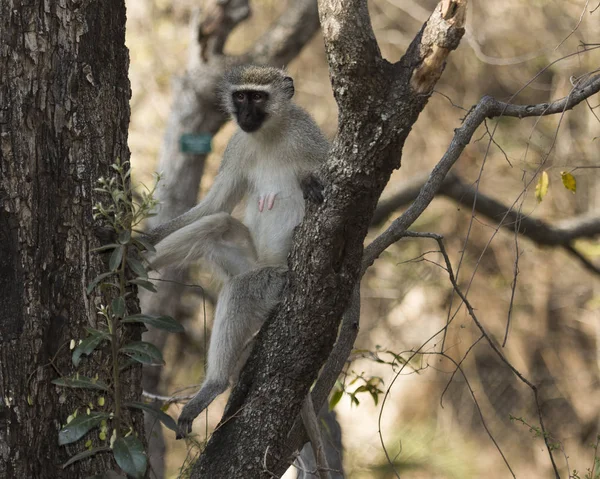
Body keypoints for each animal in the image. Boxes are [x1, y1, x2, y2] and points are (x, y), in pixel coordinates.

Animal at [146, 65, 332, 440]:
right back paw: (135, 265)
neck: (269, 135)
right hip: (246, 258)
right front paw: (136, 240)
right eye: (241, 96)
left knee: (241, 289)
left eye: (258, 97)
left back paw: (214, 385)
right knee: (215, 224)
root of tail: (267, 263)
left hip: (275, 280)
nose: (244, 115)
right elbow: (214, 205)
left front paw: (309, 184)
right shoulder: (236, 146)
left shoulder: (307, 133)